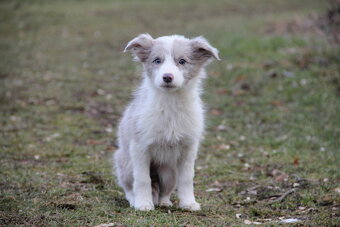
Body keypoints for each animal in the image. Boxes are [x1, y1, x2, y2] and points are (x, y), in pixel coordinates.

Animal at [113, 33, 220, 211]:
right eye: (157, 60)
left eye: (182, 61)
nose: (167, 77)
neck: (171, 102)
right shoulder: (139, 147)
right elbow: (142, 179)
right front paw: (143, 204)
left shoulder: (189, 148)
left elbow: (187, 178)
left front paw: (189, 203)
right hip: (126, 163)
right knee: (129, 186)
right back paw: (136, 200)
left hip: (169, 172)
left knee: (165, 190)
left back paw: (164, 202)